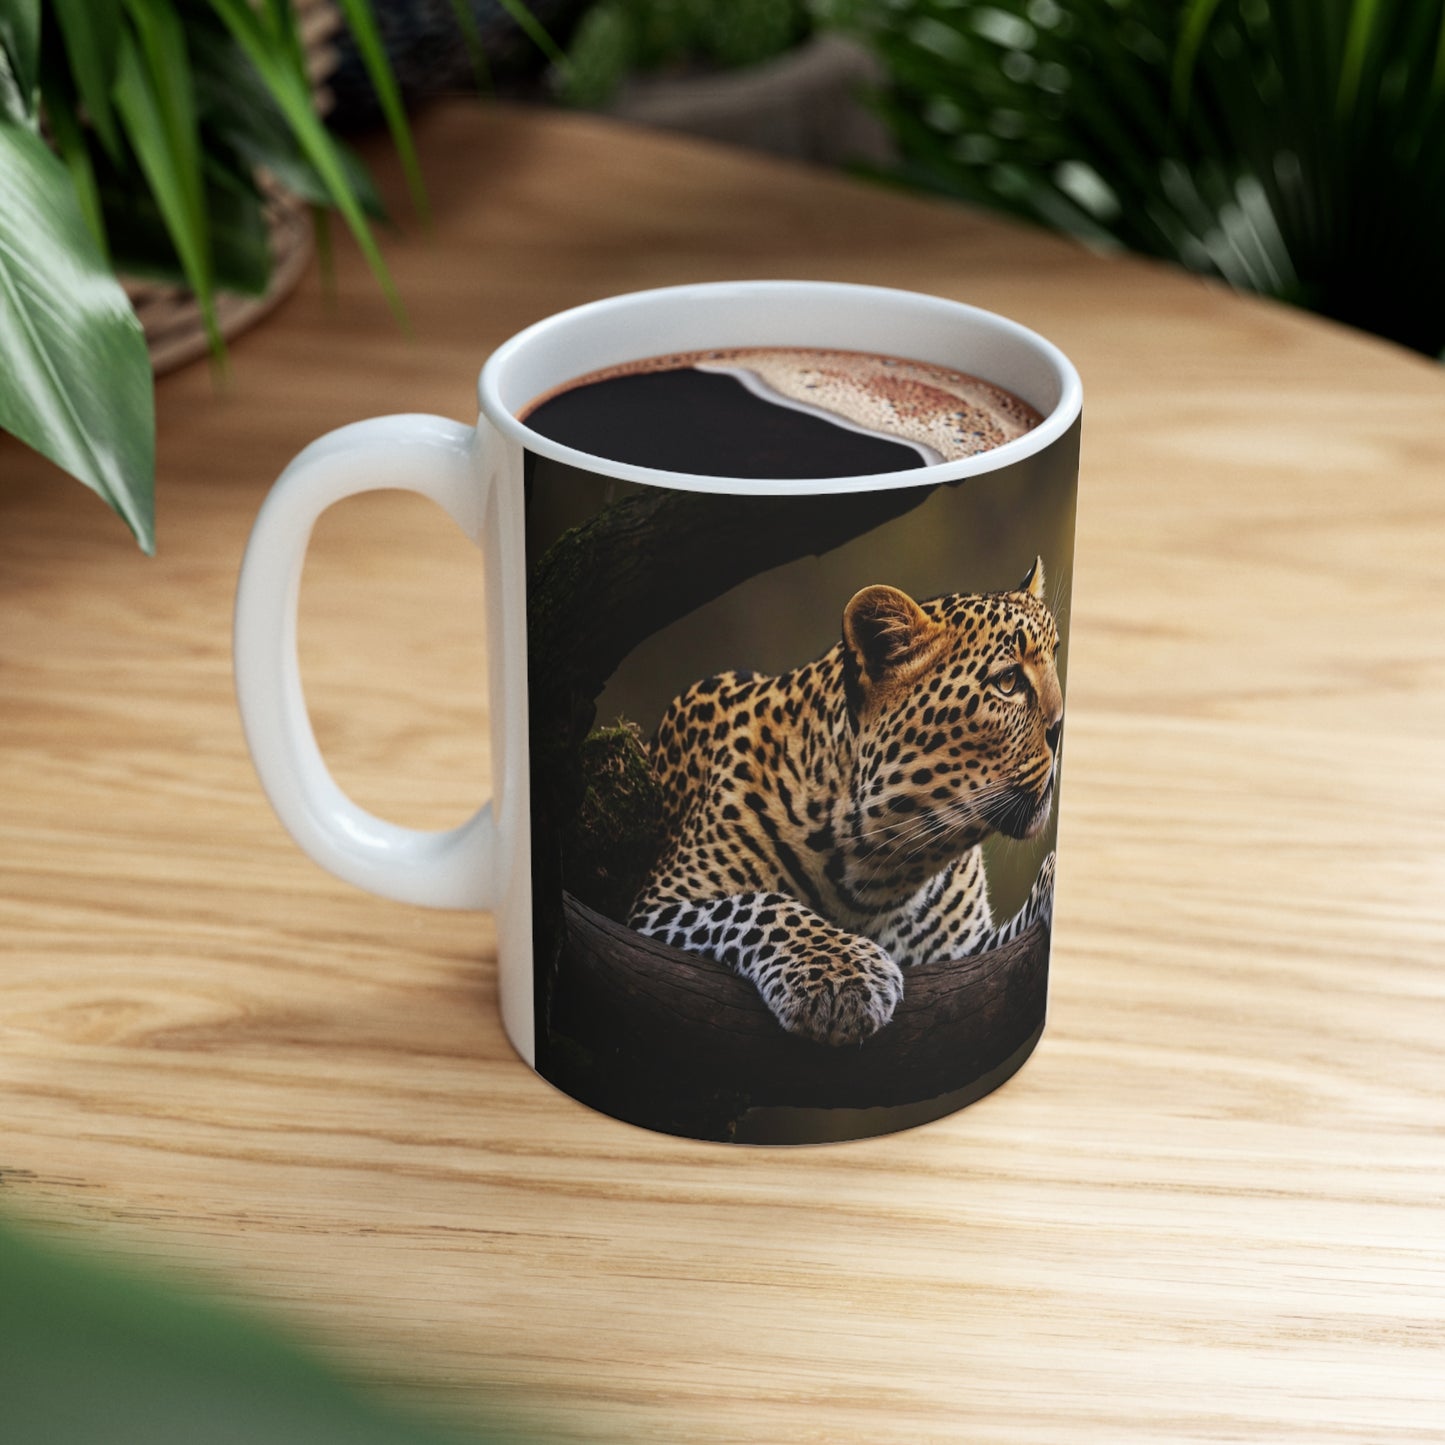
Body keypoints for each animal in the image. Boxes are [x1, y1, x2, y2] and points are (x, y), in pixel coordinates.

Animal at [628, 557, 1064, 1047]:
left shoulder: (962, 953)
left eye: (1055, 658)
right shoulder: (656, 907)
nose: (1063, 728)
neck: (882, 871)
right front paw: (837, 973)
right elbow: (755, 905)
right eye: (1007, 681)